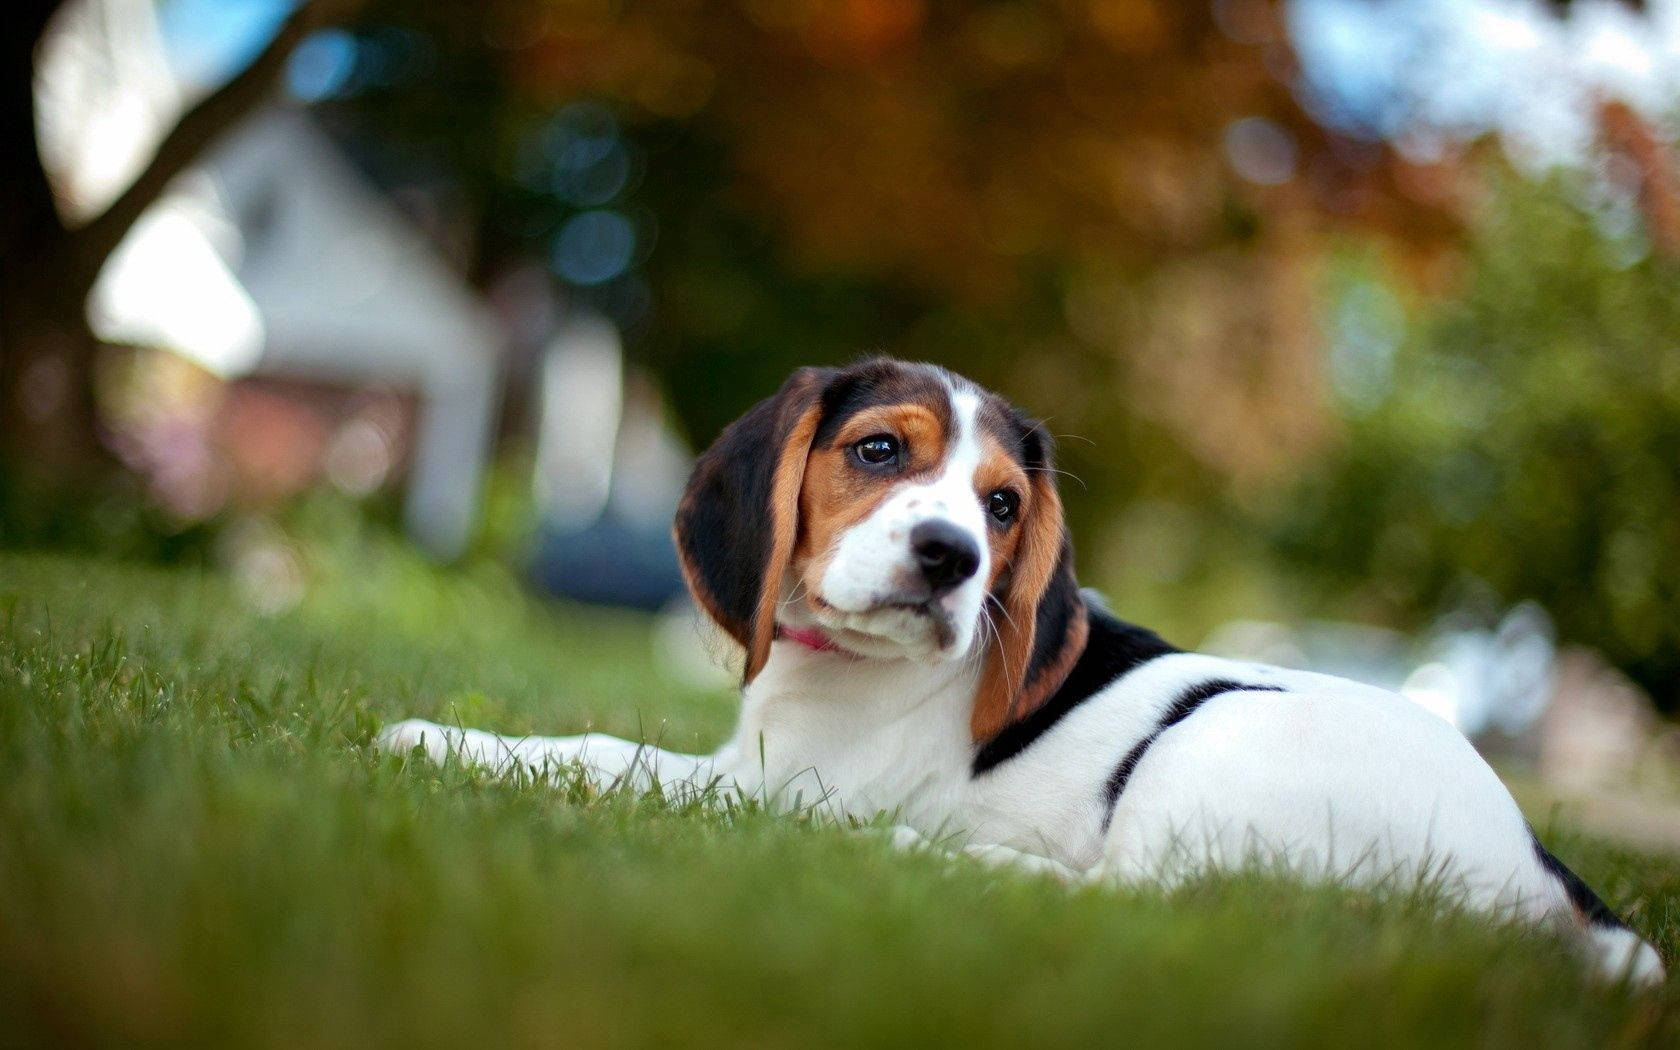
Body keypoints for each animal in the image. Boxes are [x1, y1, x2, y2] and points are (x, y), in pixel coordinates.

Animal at [384, 356, 1666, 981]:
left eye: (1003, 506)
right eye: (878, 450)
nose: (952, 557)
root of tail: (1539, 879)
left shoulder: (771, 786)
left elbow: (605, 751)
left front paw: (439, 740)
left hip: (1214, 741)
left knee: (1141, 901)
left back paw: (930, 858)